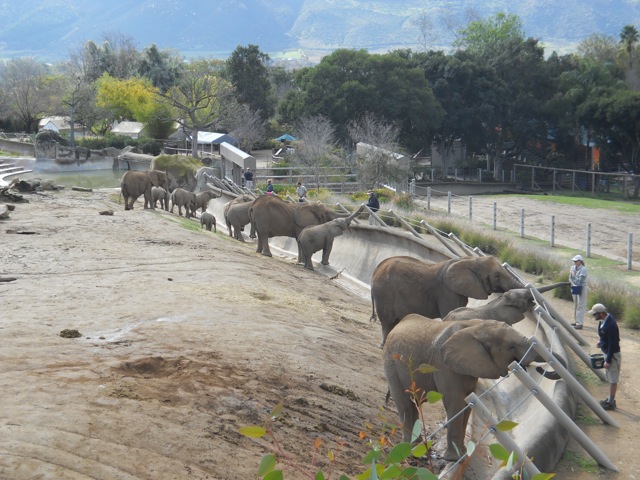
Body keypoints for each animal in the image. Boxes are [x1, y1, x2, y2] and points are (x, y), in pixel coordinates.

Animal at [370, 255, 523, 346]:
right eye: (497, 275)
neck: (470, 260)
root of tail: (375, 270)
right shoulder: (447, 291)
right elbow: (449, 313)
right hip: (384, 292)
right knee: (388, 322)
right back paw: (383, 345)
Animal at [383, 315, 557, 461]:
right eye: (511, 346)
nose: (537, 367)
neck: (476, 327)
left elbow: (467, 405)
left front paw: (463, 454)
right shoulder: (444, 366)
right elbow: (455, 403)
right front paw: (454, 459)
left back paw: (419, 450)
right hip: (391, 363)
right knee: (405, 405)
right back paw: (412, 452)